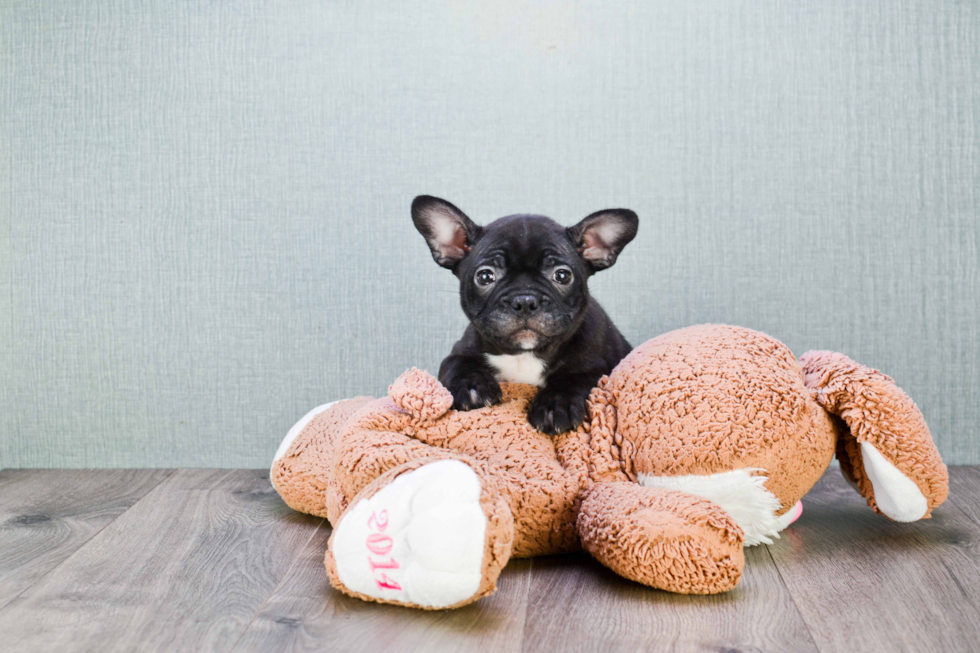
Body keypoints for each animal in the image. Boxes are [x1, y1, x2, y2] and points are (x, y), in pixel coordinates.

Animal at [410, 196, 640, 436]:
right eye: (485, 276)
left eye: (562, 275)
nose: (525, 301)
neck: (524, 355)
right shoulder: (460, 350)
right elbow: (457, 364)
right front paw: (472, 387)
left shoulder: (597, 368)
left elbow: (572, 380)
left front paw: (555, 406)